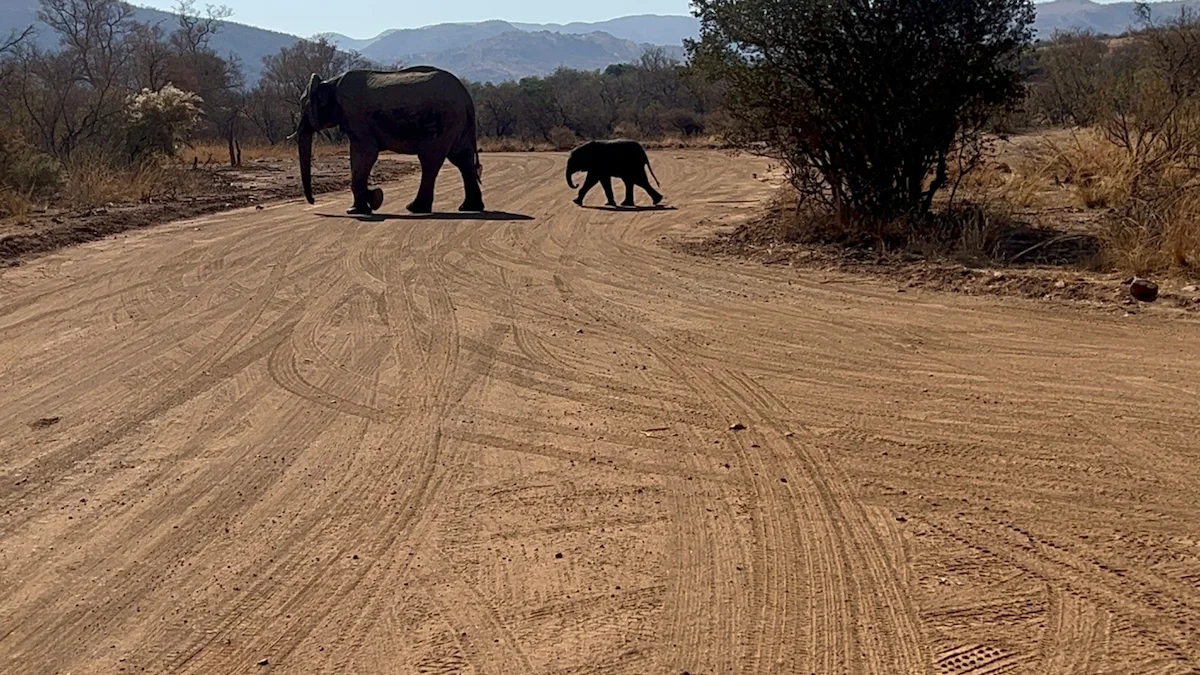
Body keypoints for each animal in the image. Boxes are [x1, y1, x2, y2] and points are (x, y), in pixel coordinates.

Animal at [287, 66, 484, 215]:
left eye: (304, 106)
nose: (313, 202)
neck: (330, 82)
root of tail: (467, 98)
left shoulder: (355, 115)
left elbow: (366, 153)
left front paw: (367, 204)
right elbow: (358, 157)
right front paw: (369, 202)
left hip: (442, 122)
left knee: (430, 160)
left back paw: (415, 208)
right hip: (458, 124)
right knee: (462, 160)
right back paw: (468, 208)